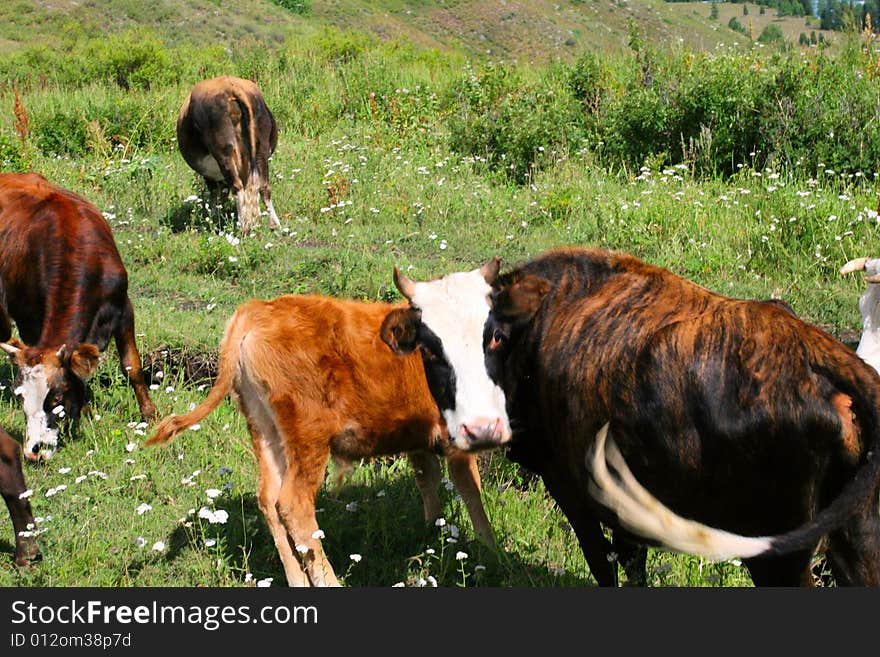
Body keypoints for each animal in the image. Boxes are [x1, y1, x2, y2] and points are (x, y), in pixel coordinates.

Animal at [0, 174, 156, 462]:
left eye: (57, 399)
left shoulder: (124, 308)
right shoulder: (31, 320)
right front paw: (85, 409)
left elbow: (132, 367)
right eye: (21, 399)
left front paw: (150, 415)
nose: (33, 453)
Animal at [148, 294, 498, 588]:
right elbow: (471, 489)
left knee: (268, 499)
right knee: (292, 504)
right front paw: (490, 547)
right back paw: (329, 581)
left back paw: (298, 581)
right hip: (308, 437)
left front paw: (433, 533)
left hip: (265, 429)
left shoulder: (420, 439)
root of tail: (257, 310)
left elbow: (429, 480)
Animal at [180, 75, 284, 233]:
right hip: (261, 149)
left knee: (237, 186)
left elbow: (215, 196)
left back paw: (244, 227)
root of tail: (230, 85)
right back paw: (274, 224)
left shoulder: (210, 175)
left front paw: (213, 218)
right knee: (263, 187)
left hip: (224, 153)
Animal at [382, 245, 880, 584]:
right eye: (429, 348)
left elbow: (602, 563)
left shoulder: (569, 486)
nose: (481, 429)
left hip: (779, 556)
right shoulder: (625, 499)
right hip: (856, 540)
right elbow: (631, 562)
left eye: (496, 336)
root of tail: (820, 351)